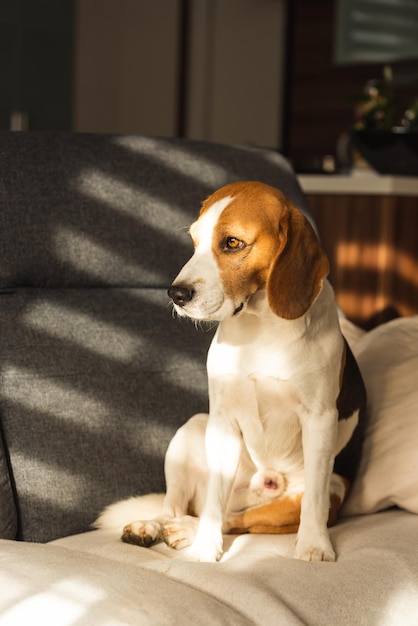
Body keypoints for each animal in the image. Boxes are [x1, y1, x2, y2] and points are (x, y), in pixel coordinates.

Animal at [96, 179, 364, 560]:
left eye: (232, 243)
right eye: (194, 242)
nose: (176, 294)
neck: (263, 325)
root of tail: (261, 482)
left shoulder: (320, 419)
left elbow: (313, 502)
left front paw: (315, 546)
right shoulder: (222, 418)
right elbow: (213, 504)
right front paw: (206, 549)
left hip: (330, 488)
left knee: (242, 517)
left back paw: (186, 529)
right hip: (192, 429)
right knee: (184, 507)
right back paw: (157, 526)